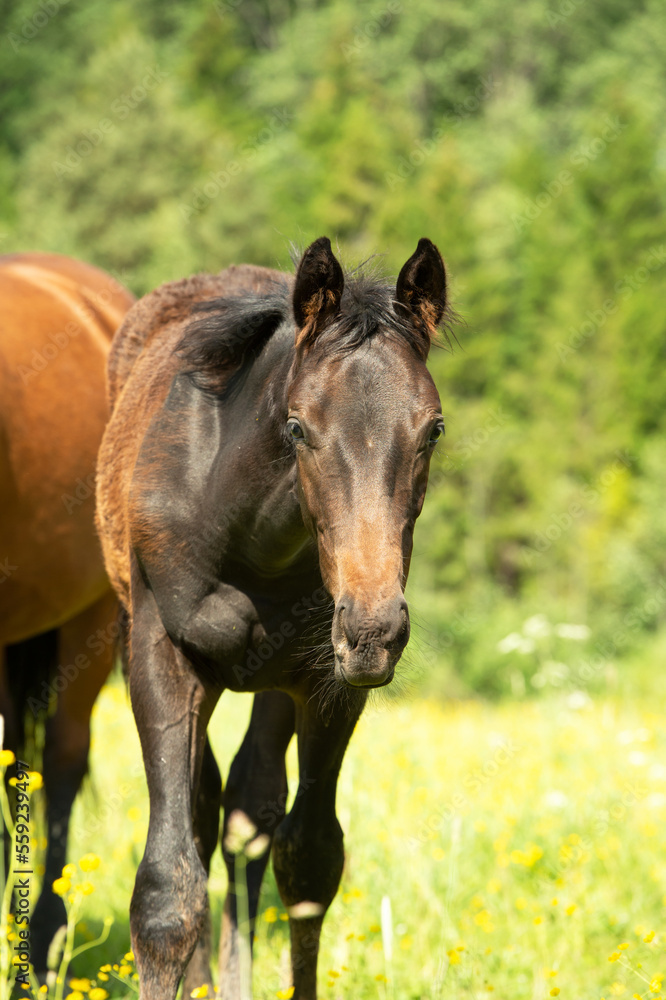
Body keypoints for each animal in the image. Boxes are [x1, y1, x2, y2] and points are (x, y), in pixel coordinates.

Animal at [95, 236, 449, 1000]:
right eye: (297, 427)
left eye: (433, 430)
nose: (374, 629)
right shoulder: (159, 659)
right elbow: (166, 892)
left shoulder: (327, 683)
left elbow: (309, 861)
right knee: (206, 814)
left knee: (248, 807)